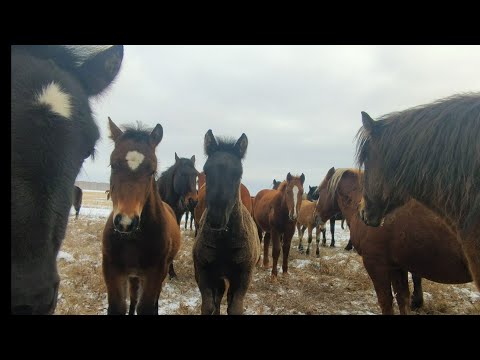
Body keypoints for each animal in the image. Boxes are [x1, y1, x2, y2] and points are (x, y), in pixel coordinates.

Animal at [102, 119, 181, 316]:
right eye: (113, 165)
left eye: (152, 171)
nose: (125, 222)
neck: (132, 240)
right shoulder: (112, 270)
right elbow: (118, 307)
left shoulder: (155, 272)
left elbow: (146, 307)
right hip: (134, 276)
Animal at [191, 130, 260, 316]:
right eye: (206, 172)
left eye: (238, 174)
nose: (216, 218)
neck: (224, 242)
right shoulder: (204, 272)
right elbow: (208, 306)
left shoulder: (243, 276)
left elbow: (234, 307)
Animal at [314, 167, 470, 314]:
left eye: (320, 191)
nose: (315, 217)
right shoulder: (397, 267)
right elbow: (403, 299)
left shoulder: (376, 265)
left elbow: (386, 302)